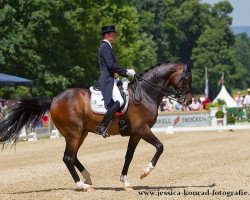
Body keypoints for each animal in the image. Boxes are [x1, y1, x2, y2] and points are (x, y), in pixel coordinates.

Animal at [0, 62, 191, 191]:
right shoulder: (142, 129)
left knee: (73, 156)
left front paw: (125, 182)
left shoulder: (135, 134)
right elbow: (160, 146)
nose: (188, 101)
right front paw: (145, 172)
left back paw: (87, 178)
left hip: (80, 133)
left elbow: (128, 157)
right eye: (187, 79)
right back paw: (81, 185)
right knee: (68, 157)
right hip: (74, 132)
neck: (144, 94)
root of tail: (54, 99)